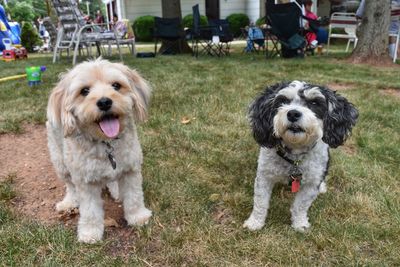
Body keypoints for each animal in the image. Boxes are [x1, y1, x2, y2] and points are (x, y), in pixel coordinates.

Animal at [47, 59, 152, 244]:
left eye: (116, 85)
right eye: (84, 91)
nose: (104, 102)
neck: (106, 143)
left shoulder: (131, 170)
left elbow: (134, 197)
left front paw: (138, 216)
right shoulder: (85, 182)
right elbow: (90, 211)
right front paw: (90, 233)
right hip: (60, 162)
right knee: (70, 186)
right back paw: (69, 202)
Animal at [244, 80, 360, 232]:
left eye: (314, 103)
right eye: (283, 101)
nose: (293, 113)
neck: (295, 157)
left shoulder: (312, 183)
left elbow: (301, 206)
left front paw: (300, 225)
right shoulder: (264, 176)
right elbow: (260, 202)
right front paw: (255, 222)